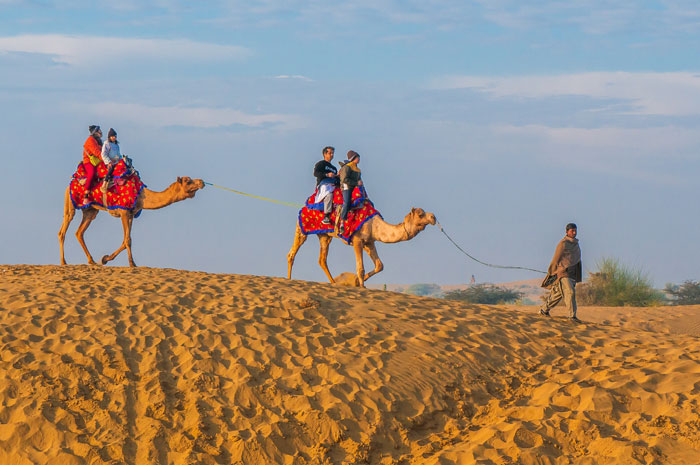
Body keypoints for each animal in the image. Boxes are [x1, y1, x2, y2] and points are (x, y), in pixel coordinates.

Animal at [58, 176, 205, 267]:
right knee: (64, 228)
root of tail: (69, 185)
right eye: (188, 181)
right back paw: (64, 262)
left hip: (90, 210)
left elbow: (126, 240)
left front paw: (105, 259)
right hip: (71, 202)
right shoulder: (123, 212)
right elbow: (128, 240)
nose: (202, 181)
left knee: (79, 232)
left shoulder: (131, 215)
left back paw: (92, 260)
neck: (141, 196)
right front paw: (132, 264)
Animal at [287, 207, 437, 287]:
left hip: (324, 234)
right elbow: (360, 268)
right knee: (292, 253)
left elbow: (379, 265)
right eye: (420, 214)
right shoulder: (357, 240)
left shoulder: (369, 242)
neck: (375, 226)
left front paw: (356, 282)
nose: (433, 217)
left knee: (322, 259)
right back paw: (288, 279)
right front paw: (361, 286)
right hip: (302, 228)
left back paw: (333, 282)